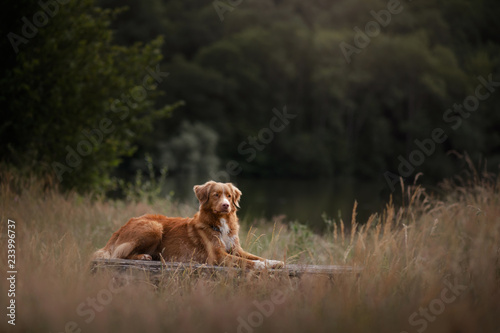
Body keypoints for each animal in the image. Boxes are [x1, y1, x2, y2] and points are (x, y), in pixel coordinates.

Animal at [92, 180, 284, 268]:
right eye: (216, 195)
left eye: (229, 196)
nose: (226, 205)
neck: (220, 223)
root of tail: (119, 230)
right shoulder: (217, 256)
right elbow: (247, 262)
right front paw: (262, 266)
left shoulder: (237, 249)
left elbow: (255, 256)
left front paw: (274, 262)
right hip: (154, 227)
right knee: (119, 254)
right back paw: (143, 256)